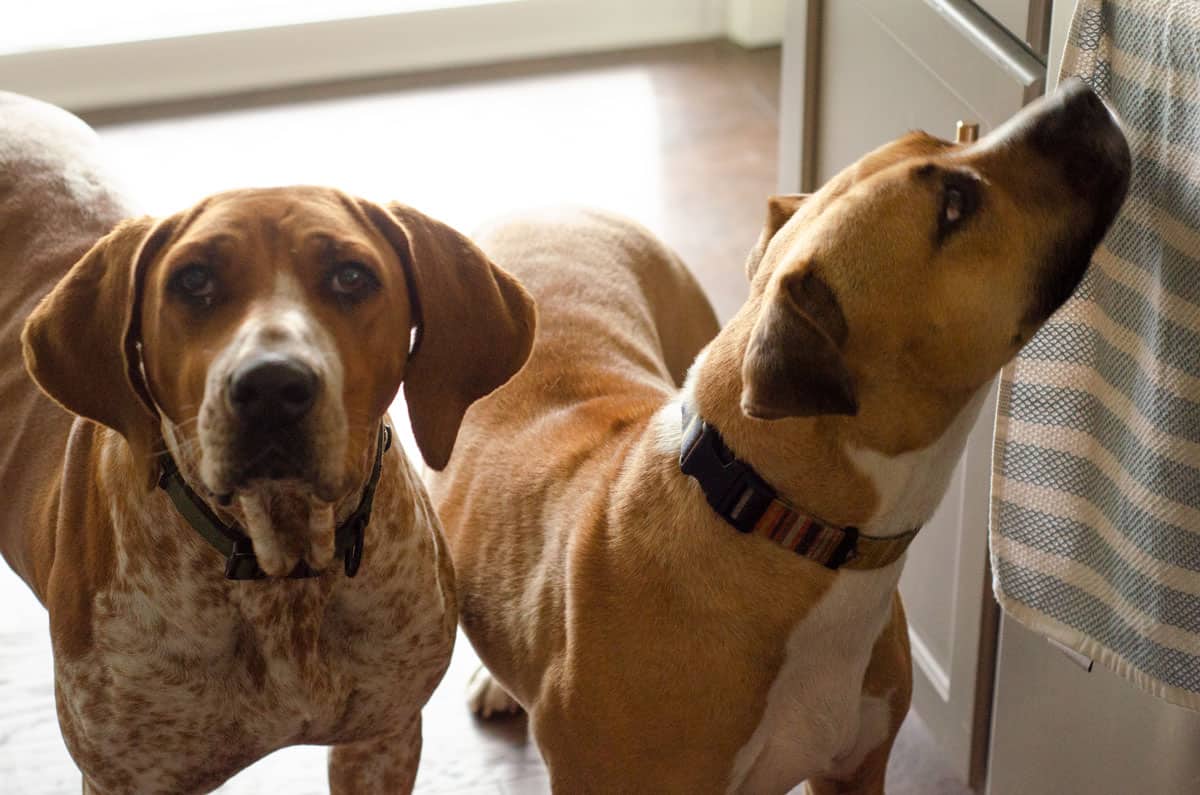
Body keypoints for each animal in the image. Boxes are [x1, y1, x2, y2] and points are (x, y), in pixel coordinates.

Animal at [0, 94, 535, 795]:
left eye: (351, 277)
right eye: (193, 281)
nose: (273, 386)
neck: (284, 573)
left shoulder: (381, 739)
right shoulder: (129, 776)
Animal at [427, 78, 1128, 792]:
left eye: (941, 138)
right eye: (955, 206)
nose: (1082, 93)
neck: (779, 522)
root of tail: (551, 207)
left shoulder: (858, 768)